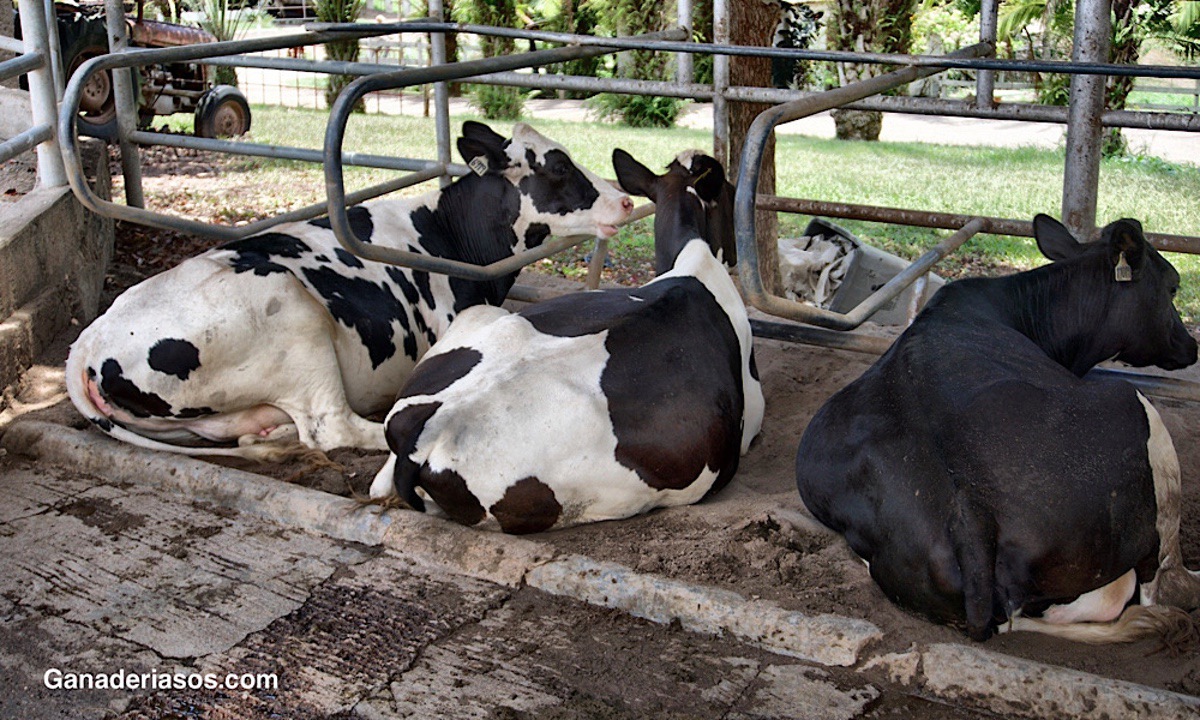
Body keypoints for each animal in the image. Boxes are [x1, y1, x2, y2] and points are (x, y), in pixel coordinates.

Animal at [65, 122, 633, 460]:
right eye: (558, 165)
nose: (626, 201)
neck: (448, 237)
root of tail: (88, 343)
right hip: (293, 317)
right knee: (333, 428)